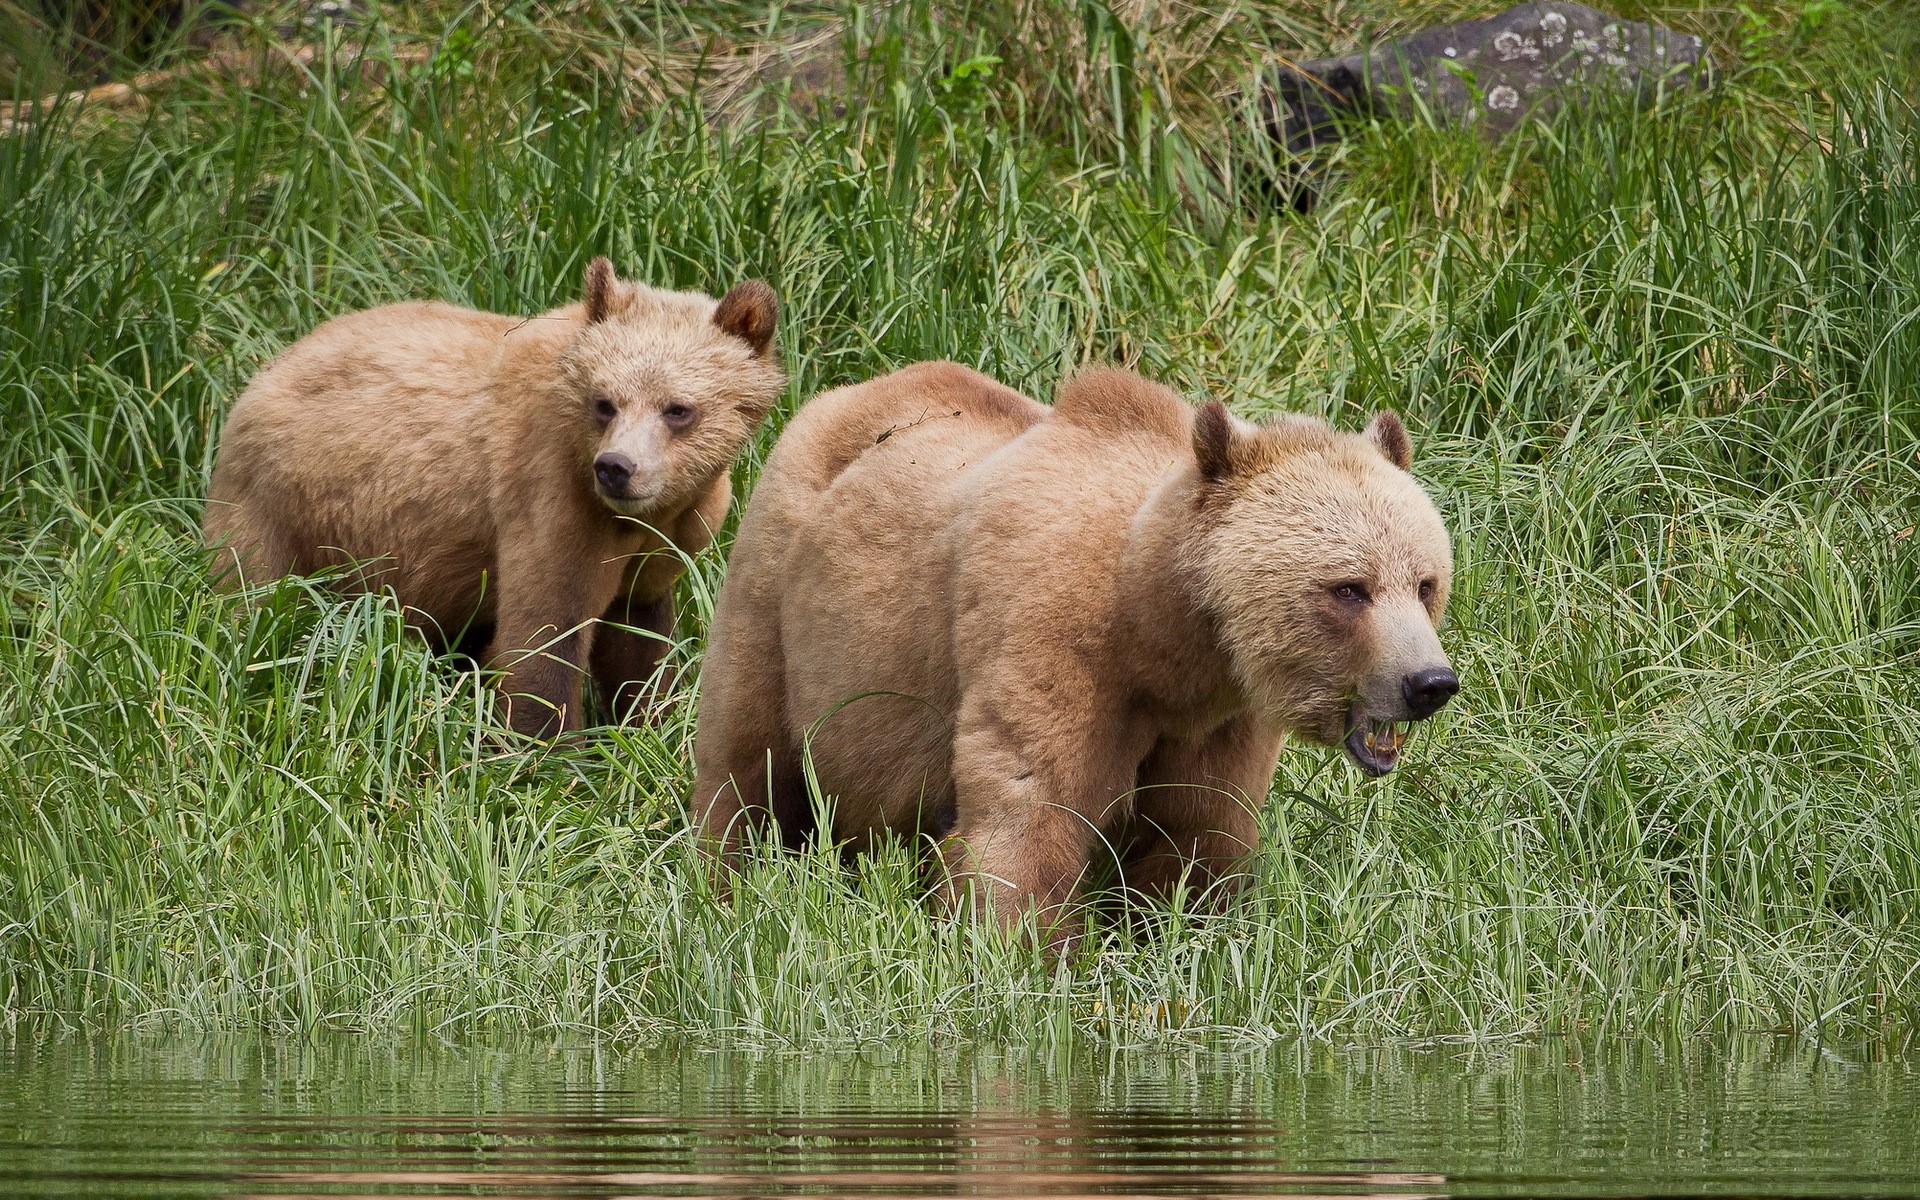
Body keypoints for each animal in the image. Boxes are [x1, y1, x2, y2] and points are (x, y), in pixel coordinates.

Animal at [204, 258, 782, 736]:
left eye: (677, 408)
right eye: (604, 402)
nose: (616, 468)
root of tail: (263, 372)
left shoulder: (664, 541)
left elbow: (638, 639)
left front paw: (651, 723)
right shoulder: (551, 491)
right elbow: (544, 628)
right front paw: (549, 755)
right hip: (281, 508)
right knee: (253, 599)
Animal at [692, 362, 1456, 942]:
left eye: (1424, 582)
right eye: (1349, 588)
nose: (1429, 681)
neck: (1164, 638)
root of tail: (849, 391)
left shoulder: (1219, 718)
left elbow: (1198, 826)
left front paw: (1176, 933)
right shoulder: (1058, 634)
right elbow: (1033, 808)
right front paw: (1025, 952)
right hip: (783, 588)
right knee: (746, 755)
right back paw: (727, 886)